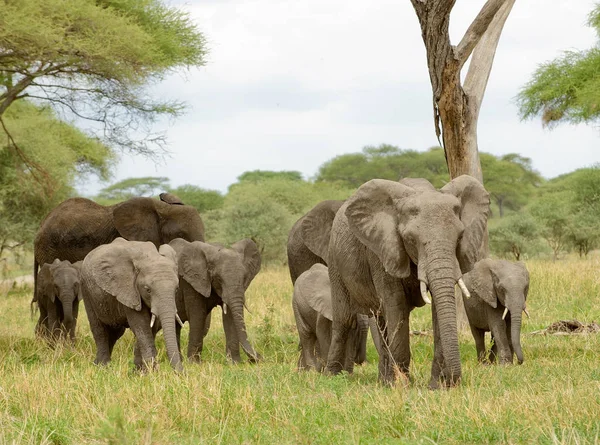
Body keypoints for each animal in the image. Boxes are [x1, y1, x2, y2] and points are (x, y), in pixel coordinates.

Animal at [81, 236, 183, 372]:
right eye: (147, 290)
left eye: (176, 289)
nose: (181, 373)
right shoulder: (129, 289)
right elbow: (141, 325)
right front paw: (152, 372)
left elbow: (151, 326)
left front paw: (140, 371)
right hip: (86, 289)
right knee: (99, 329)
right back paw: (102, 366)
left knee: (115, 332)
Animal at [326, 175, 490, 386]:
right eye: (410, 239)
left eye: (460, 236)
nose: (453, 382)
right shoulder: (383, 251)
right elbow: (396, 304)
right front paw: (402, 386)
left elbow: (437, 308)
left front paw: (436, 386)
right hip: (334, 260)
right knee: (344, 318)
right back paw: (332, 376)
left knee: (381, 322)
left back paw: (383, 380)